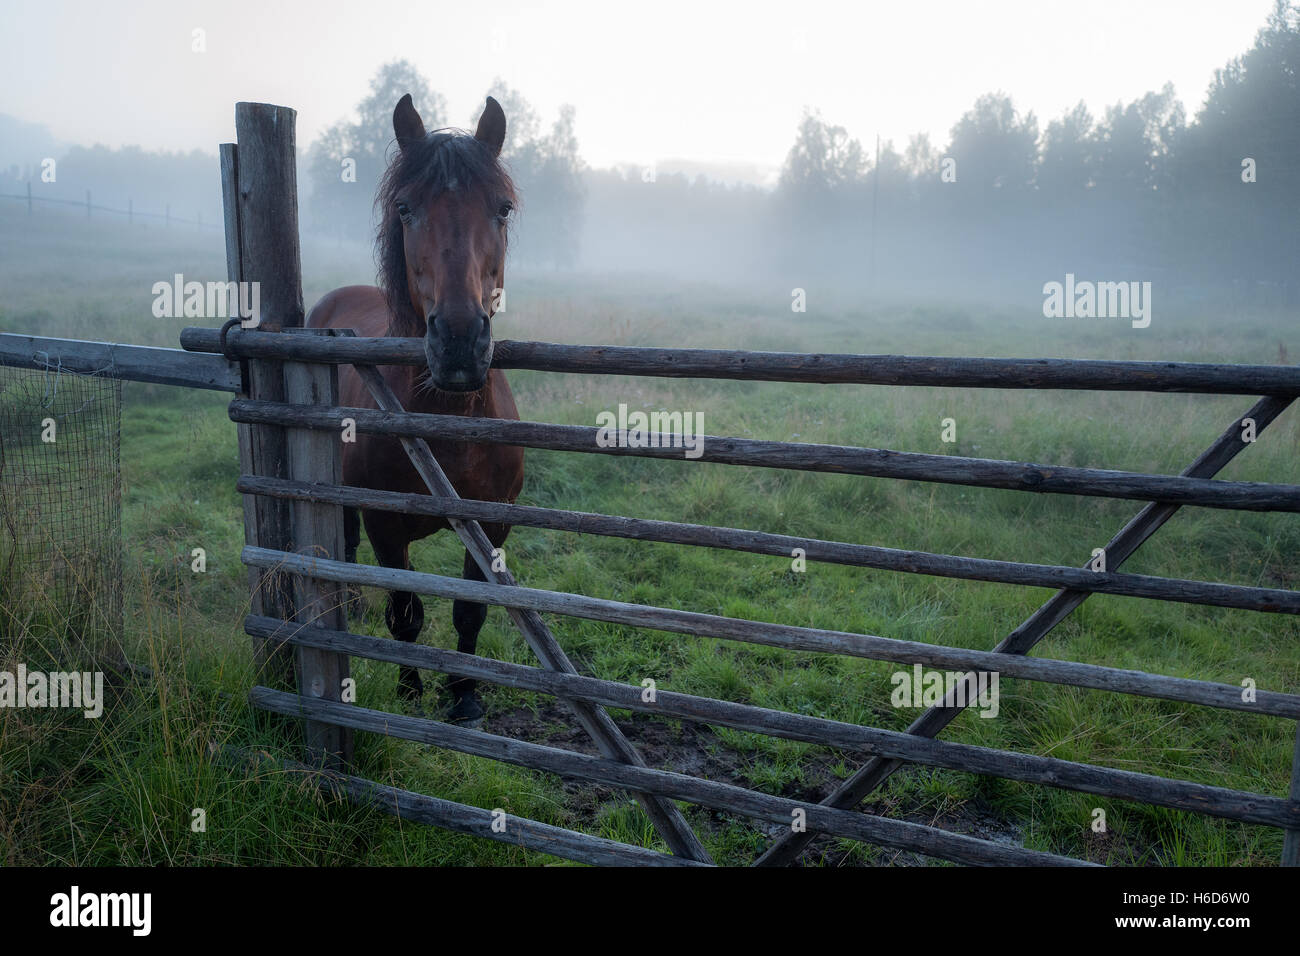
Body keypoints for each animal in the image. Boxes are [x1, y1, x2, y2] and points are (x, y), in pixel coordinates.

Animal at [304, 95, 522, 723]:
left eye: (502, 209)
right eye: (405, 208)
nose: (458, 342)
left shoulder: (492, 523)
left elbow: (469, 611)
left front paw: (465, 695)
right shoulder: (386, 524)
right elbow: (406, 613)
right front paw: (408, 690)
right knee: (345, 541)